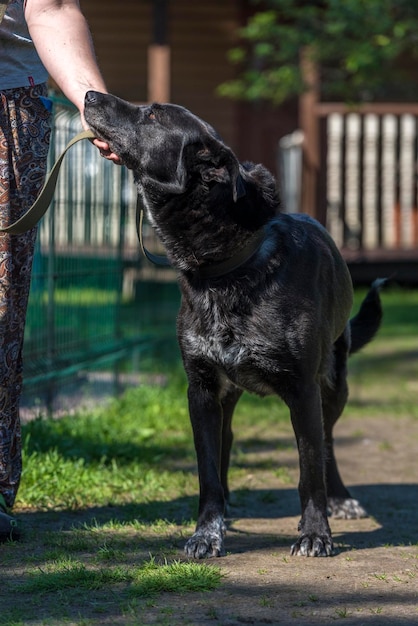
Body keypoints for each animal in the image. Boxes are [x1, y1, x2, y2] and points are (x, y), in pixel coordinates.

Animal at [84, 91, 382, 556]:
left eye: (153, 115)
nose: (89, 95)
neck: (226, 271)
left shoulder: (303, 390)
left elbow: (309, 470)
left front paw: (316, 532)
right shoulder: (202, 390)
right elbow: (207, 473)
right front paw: (207, 532)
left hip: (334, 385)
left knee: (328, 444)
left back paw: (340, 499)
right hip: (229, 397)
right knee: (227, 444)